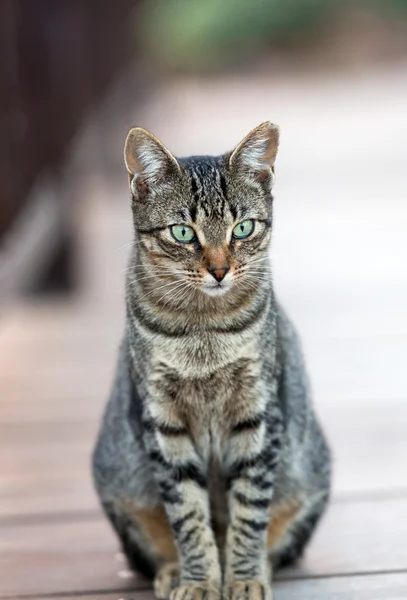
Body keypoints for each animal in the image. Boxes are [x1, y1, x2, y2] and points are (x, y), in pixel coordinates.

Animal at [94, 122, 334, 600]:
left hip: (310, 476)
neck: (202, 328)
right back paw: (173, 571)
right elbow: (187, 516)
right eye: (183, 233)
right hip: (119, 487)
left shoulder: (258, 411)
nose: (220, 270)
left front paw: (241, 577)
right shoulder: (162, 419)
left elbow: (248, 514)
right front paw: (200, 580)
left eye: (243, 228)